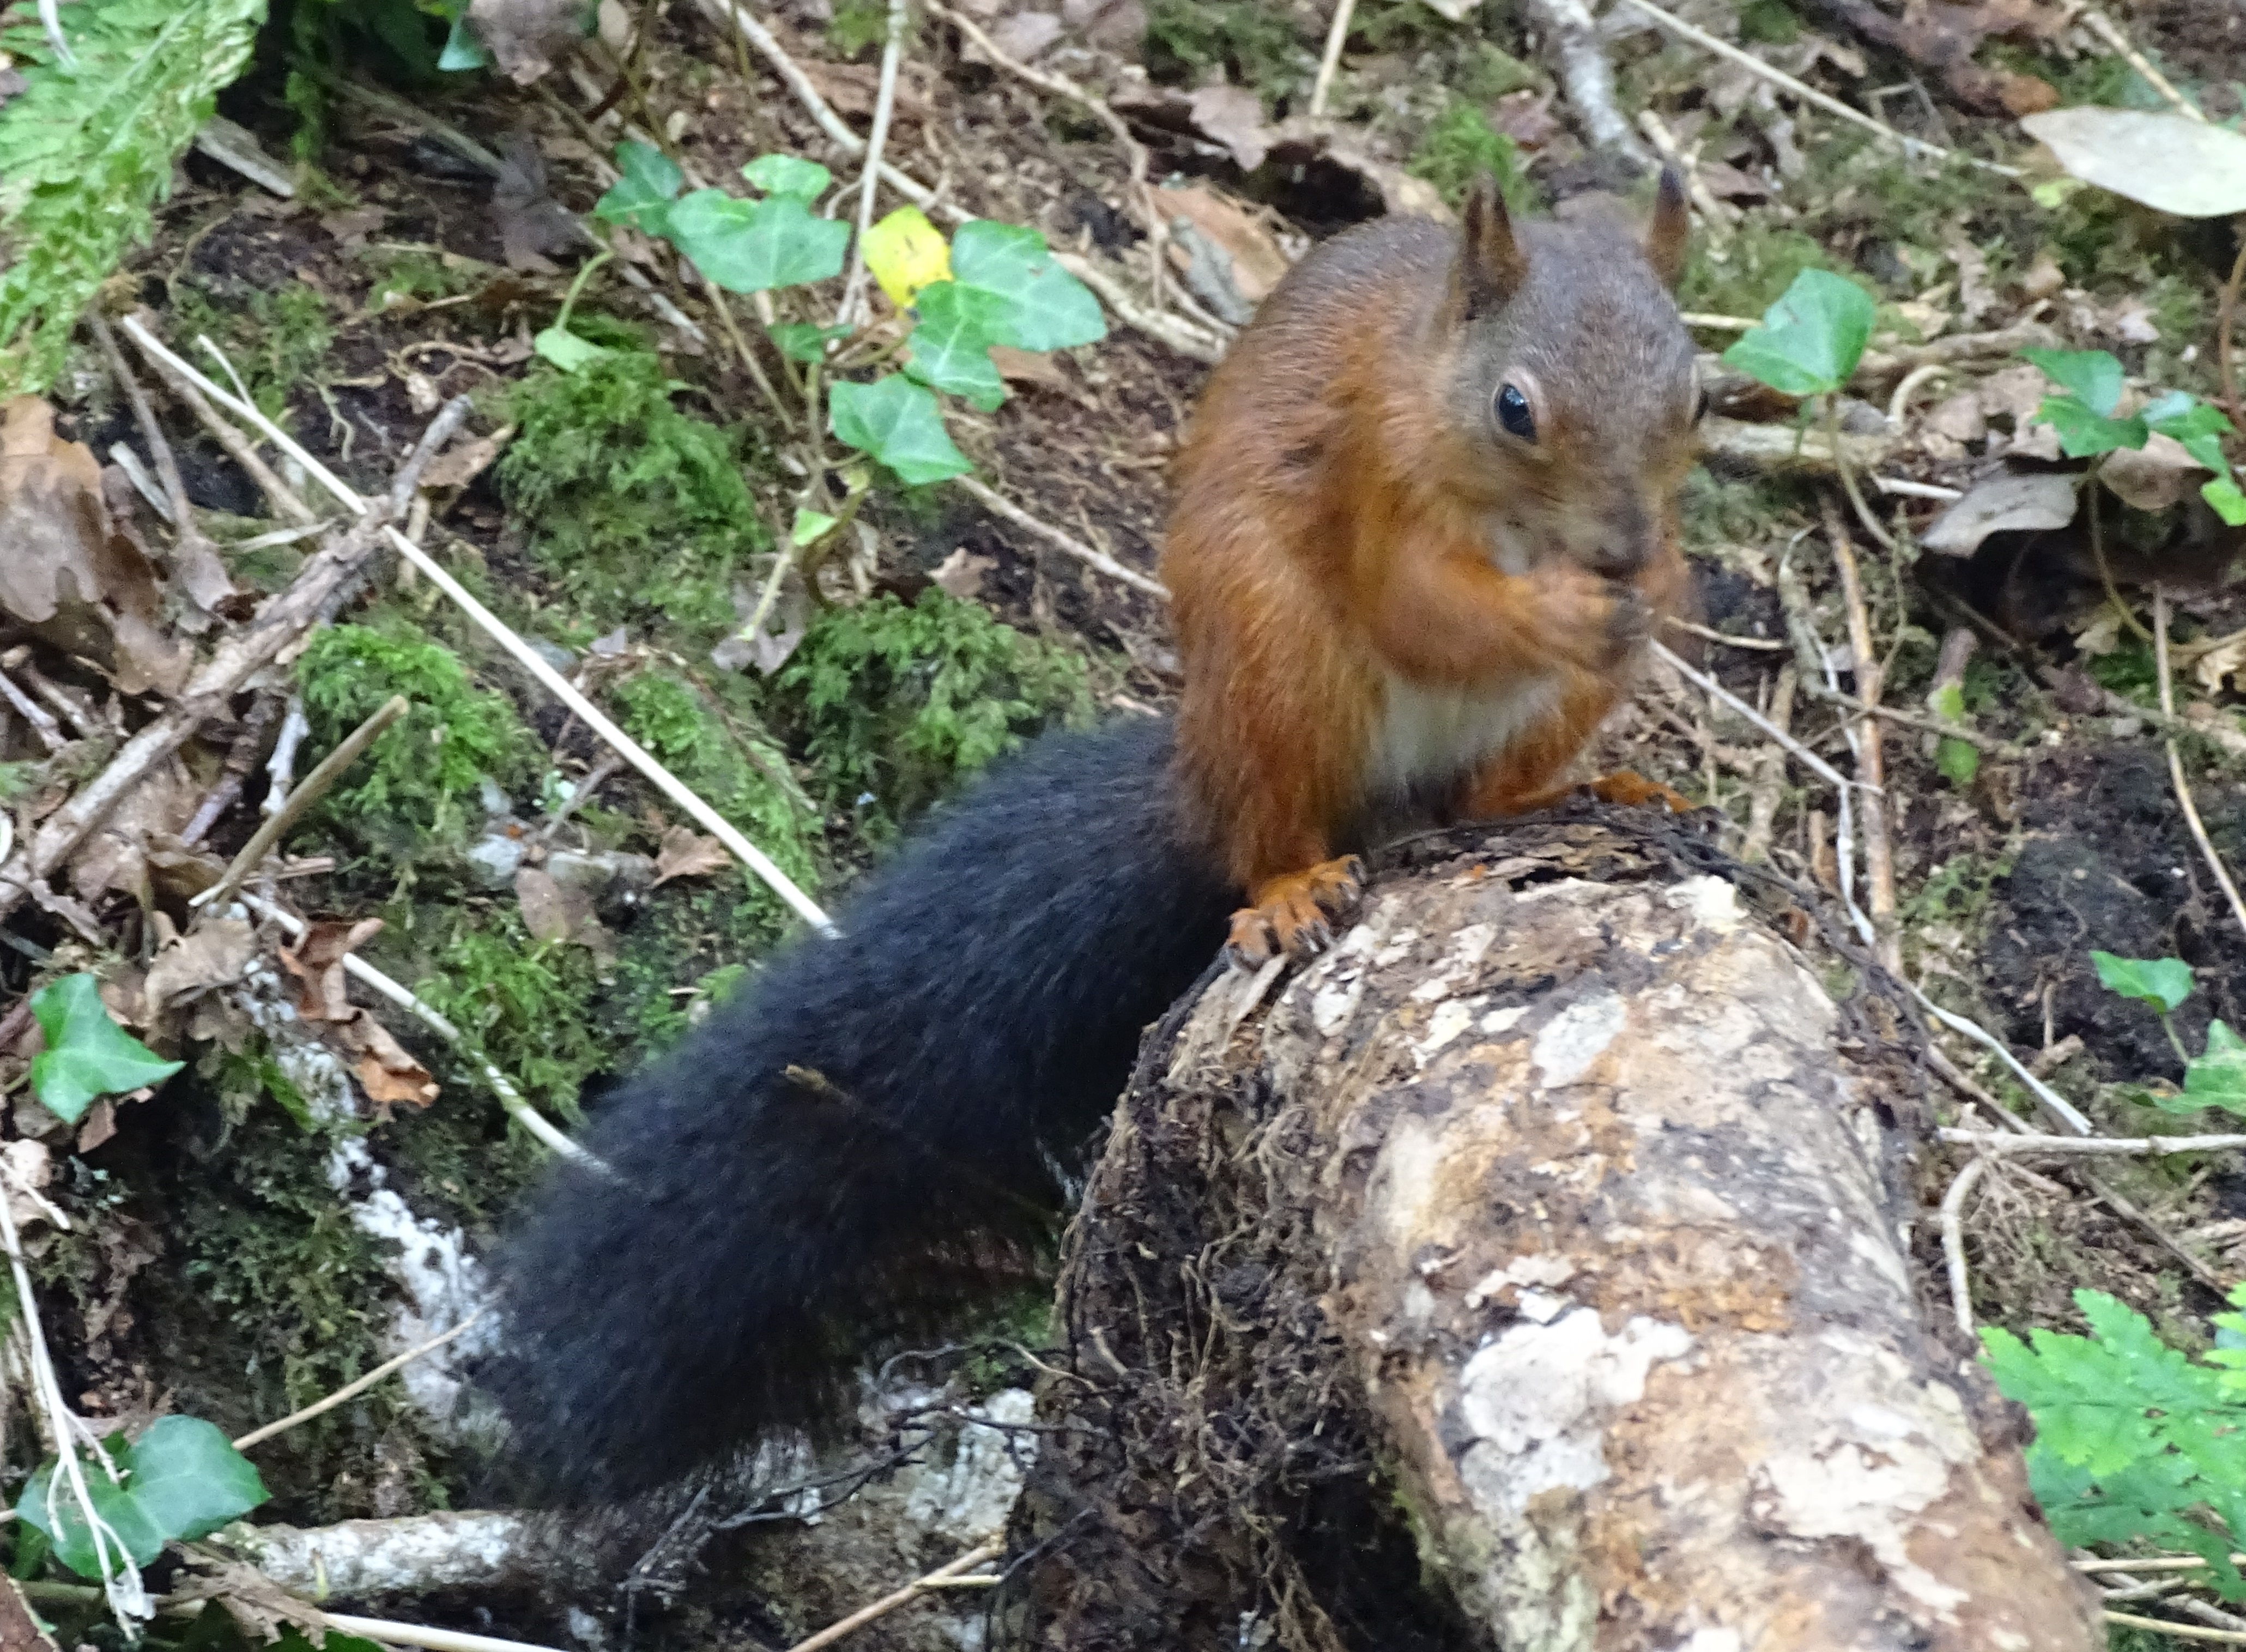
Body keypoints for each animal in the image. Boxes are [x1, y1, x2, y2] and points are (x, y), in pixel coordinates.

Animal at [484, 171, 1704, 1502]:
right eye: (1514, 408)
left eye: (1699, 394)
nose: (1627, 549)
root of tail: (1214, 784)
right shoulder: (1373, 468)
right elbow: (1416, 605)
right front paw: (1553, 605)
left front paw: (1666, 586)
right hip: (1273, 656)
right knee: (1274, 820)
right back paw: (1288, 883)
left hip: (1531, 716)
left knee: (1475, 804)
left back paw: (1571, 792)